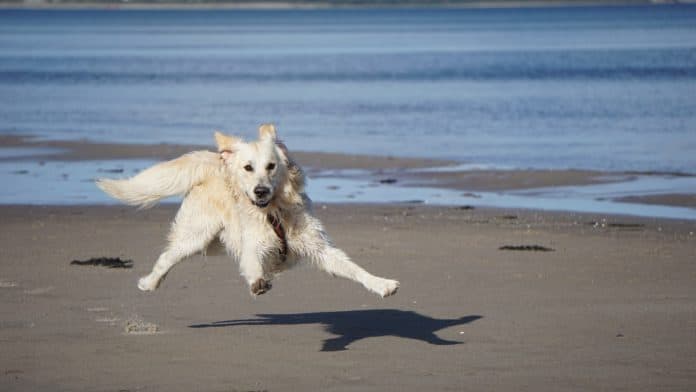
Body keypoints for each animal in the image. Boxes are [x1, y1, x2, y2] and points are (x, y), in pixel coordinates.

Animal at [99, 125, 402, 298]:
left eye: (271, 166)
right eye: (248, 167)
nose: (260, 191)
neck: (274, 213)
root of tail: (216, 162)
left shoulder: (318, 247)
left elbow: (353, 268)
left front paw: (382, 284)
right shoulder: (252, 244)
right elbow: (253, 263)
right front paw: (258, 282)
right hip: (196, 235)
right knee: (167, 257)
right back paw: (149, 283)